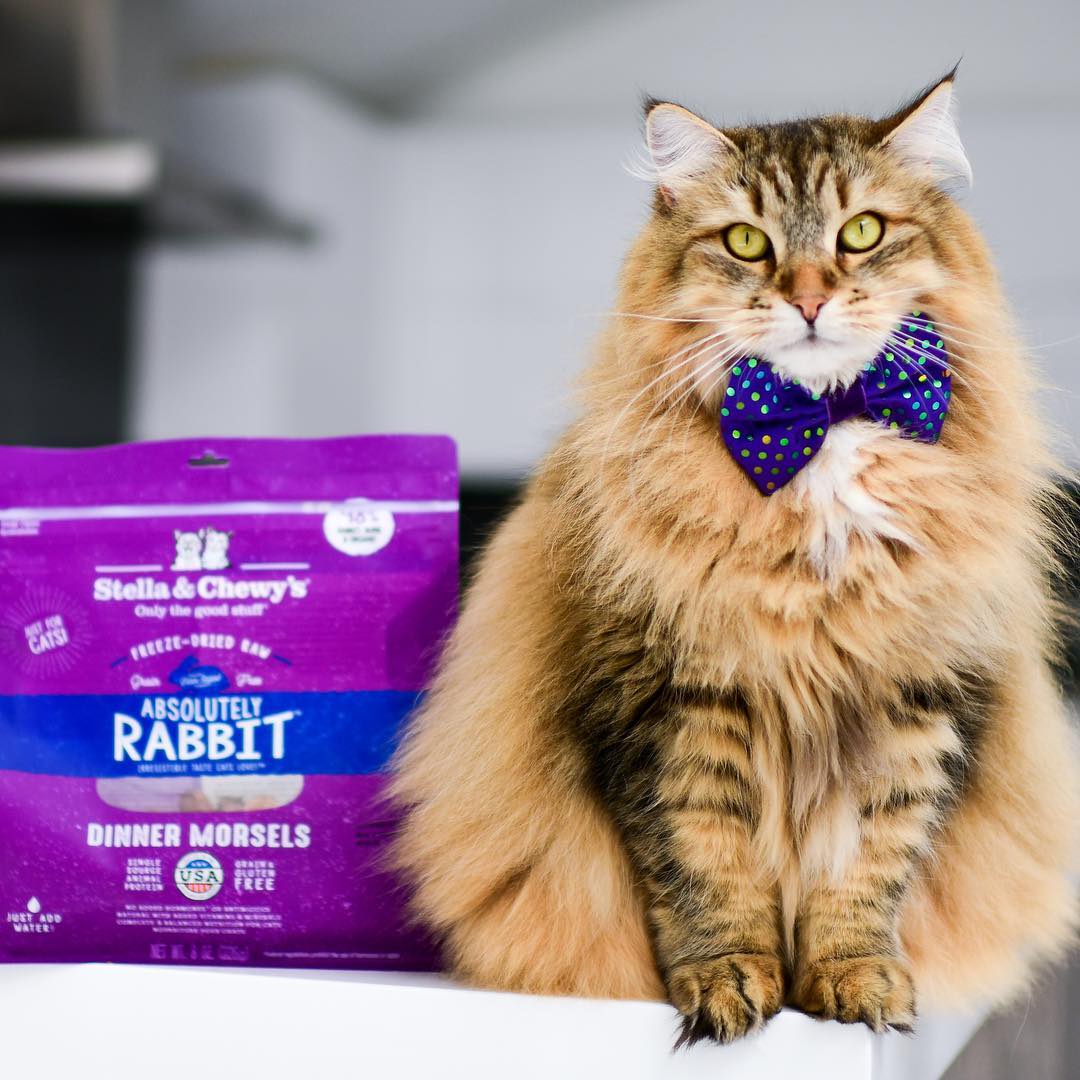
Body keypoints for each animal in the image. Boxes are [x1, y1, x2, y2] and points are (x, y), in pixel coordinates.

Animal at [390, 69, 1080, 1045]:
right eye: (747, 244)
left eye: (861, 233)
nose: (809, 298)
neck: (822, 431)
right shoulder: (672, 705)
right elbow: (707, 871)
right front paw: (727, 985)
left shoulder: (917, 701)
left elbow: (867, 873)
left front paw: (854, 983)